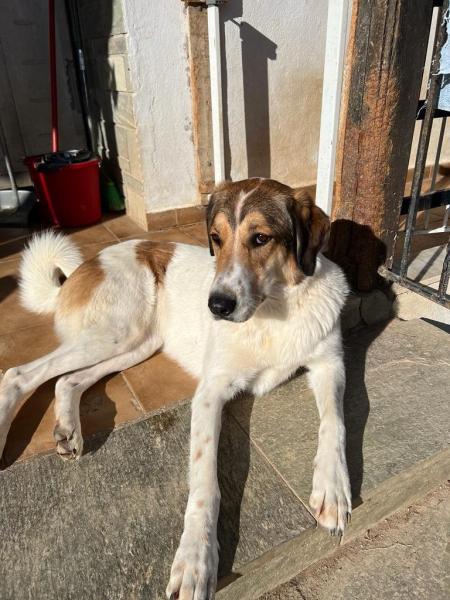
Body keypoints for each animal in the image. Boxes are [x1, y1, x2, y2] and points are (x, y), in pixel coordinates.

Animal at [0, 178, 351, 599]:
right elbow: (204, 484)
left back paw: (68, 430)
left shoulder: (330, 364)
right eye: (216, 238)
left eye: (261, 238)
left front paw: (332, 487)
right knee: (18, 374)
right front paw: (196, 558)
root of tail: (86, 265)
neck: (275, 310)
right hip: (118, 331)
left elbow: (334, 423)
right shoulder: (210, 392)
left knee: (67, 379)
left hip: (137, 343)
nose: (217, 306)